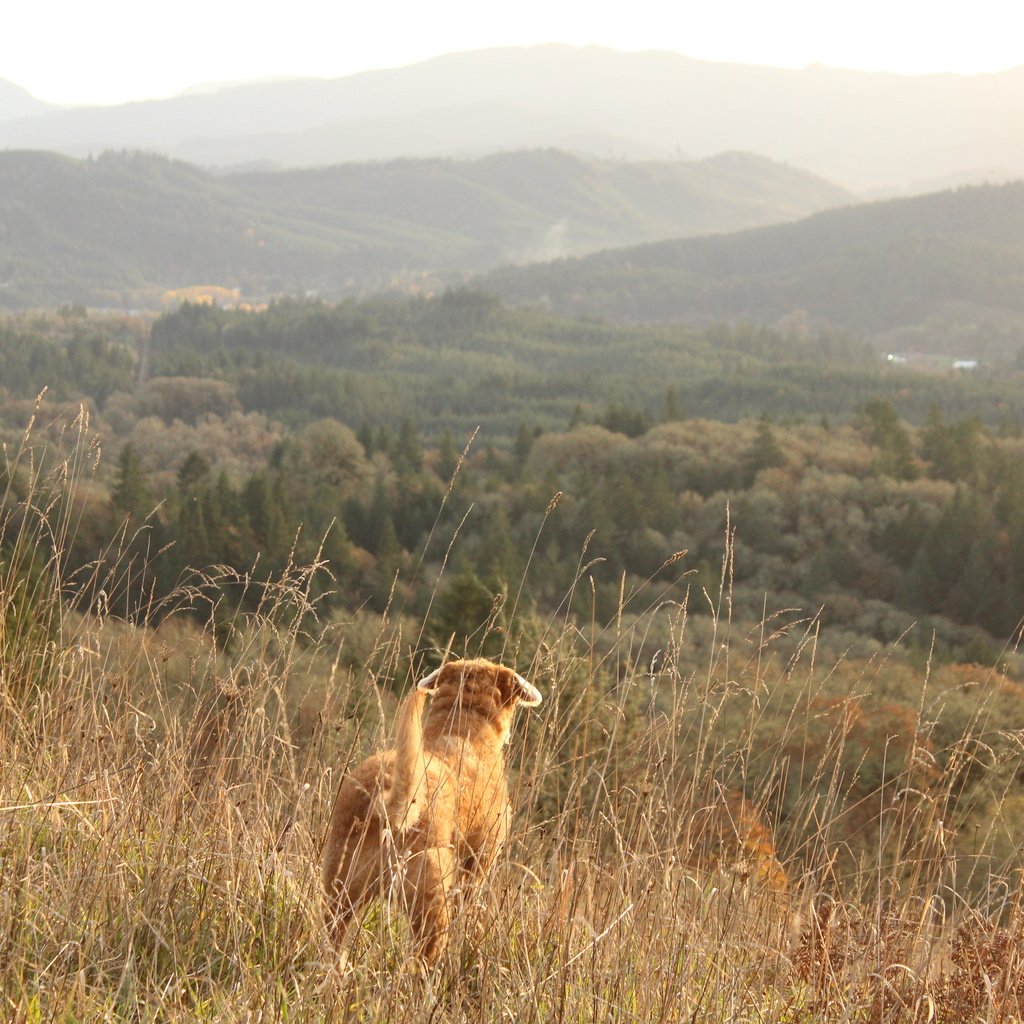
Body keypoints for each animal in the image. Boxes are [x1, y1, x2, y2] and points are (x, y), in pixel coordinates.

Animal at [321, 655, 544, 966]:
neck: (463, 724)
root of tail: (386, 799)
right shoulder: (480, 859)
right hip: (431, 895)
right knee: (423, 957)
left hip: (339, 886)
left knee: (334, 941)